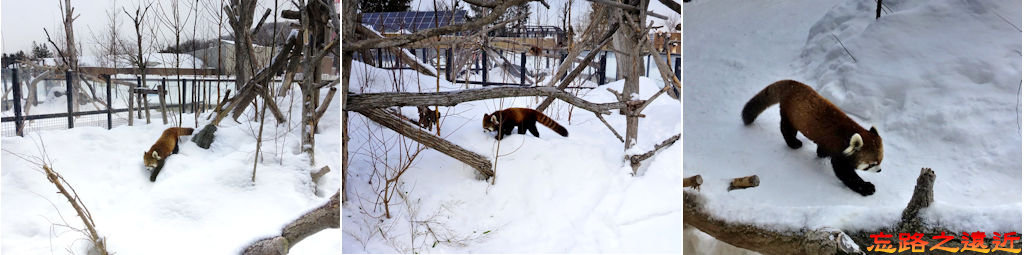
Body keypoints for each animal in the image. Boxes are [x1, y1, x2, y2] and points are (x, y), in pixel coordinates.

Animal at [741, 80, 884, 196]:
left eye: (881, 161)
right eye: (872, 164)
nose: (879, 170)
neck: (848, 136)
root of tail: (793, 83)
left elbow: (822, 150)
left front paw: (821, 153)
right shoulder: (838, 150)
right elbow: (845, 172)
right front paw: (866, 187)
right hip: (790, 113)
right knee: (786, 129)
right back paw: (794, 143)